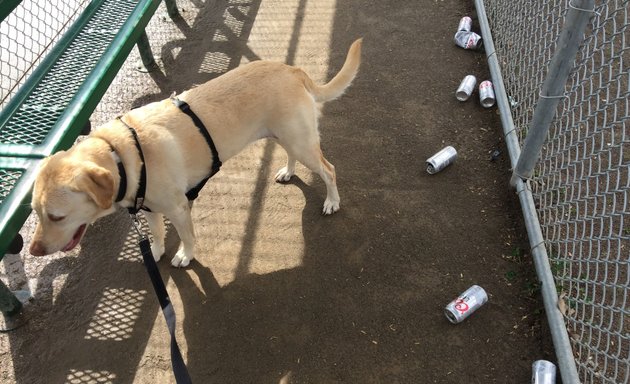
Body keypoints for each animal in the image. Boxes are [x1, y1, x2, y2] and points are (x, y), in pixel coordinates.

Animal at [29, 39, 362, 268]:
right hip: (285, 137)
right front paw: (156, 252)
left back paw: (332, 202)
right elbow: (157, 234)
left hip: (301, 142)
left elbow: (187, 236)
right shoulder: (150, 210)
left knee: (329, 169)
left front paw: (184, 256)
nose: (34, 251)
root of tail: (292, 69)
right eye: (35, 212)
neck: (122, 154)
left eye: (56, 216)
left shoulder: (178, 209)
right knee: (296, 158)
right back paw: (289, 171)